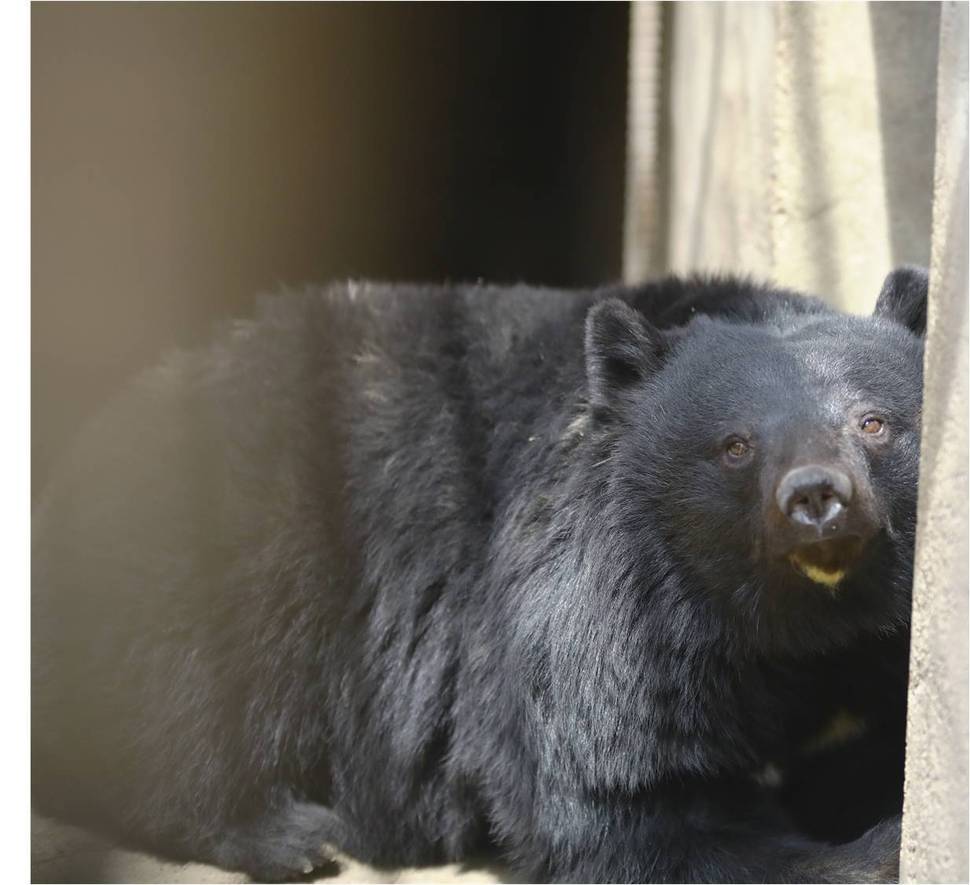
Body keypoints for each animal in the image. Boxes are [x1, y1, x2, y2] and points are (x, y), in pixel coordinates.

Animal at [30, 266, 924, 880]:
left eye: (875, 423)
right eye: (735, 444)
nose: (815, 497)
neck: (803, 622)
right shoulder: (599, 627)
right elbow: (622, 805)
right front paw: (874, 848)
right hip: (215, 554)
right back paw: (288, 833)